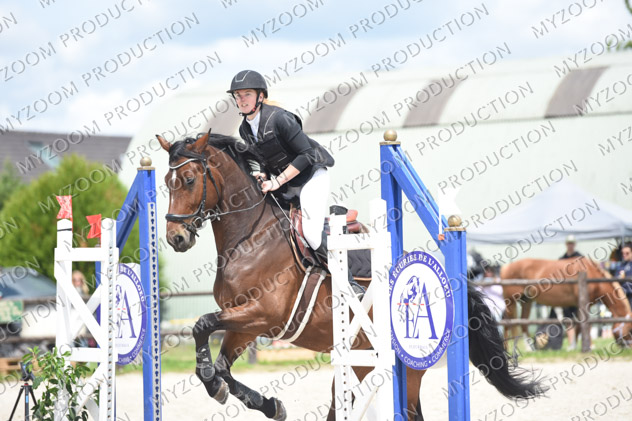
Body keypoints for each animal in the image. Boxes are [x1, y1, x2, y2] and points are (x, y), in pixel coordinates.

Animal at [156, 131, 546, 421]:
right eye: (165, 182)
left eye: (188, 179)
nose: (176, 238)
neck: (249, 237)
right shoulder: (245, 324)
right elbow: (222, 365)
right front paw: (265, 403)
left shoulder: (263, 315)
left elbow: (202, 325)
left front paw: (217, 386)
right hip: (359, 367)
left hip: (406, 370)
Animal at [500, 257, 632, 347]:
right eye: (630, 330)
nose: (628, 347)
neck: (590, 273)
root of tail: (505, 267)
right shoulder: (584, 305)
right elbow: (585, 325)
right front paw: (589, 346)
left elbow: (578, 325)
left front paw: (573, 346)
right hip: (510, 301)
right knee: (507, 323)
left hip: (527, 301)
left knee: (523, 323)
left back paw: (530, 349)